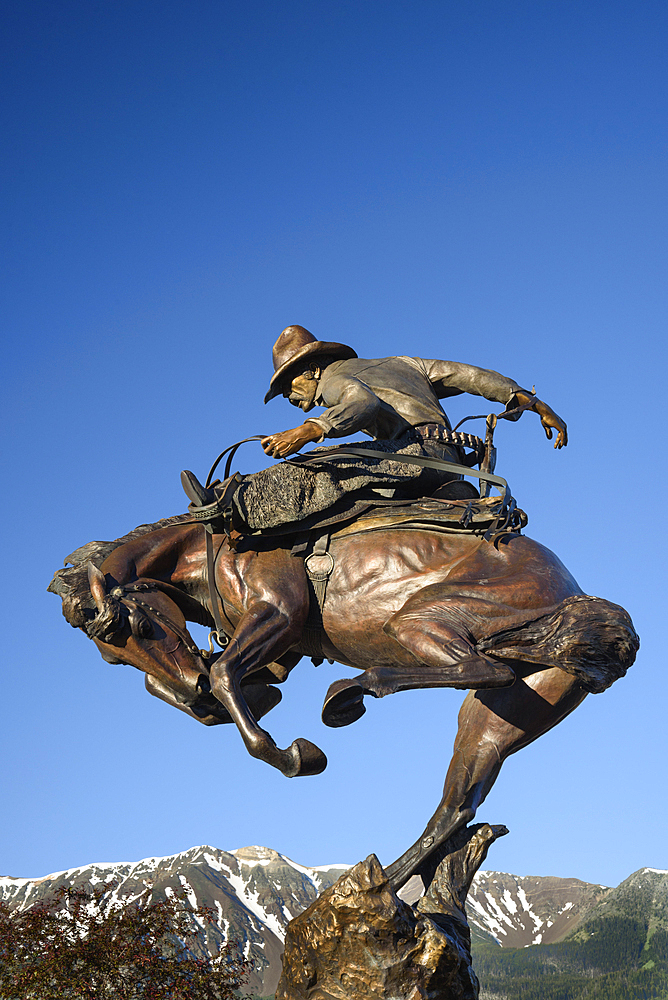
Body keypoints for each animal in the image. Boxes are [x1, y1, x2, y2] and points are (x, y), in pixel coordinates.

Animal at [48, 446, 636, 892]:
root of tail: (574, 593)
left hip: (421, 619)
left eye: (138, 626)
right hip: (507, 711)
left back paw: (351, 691)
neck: (214, 541)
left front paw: (295, 754)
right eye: (110, 654)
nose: (191, 689)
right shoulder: (275, 652)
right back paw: (388, 880)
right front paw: (219, 704)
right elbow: (194, 685)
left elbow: (224, 678)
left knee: (482, 668)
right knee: (457, 801)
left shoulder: (279, 615)